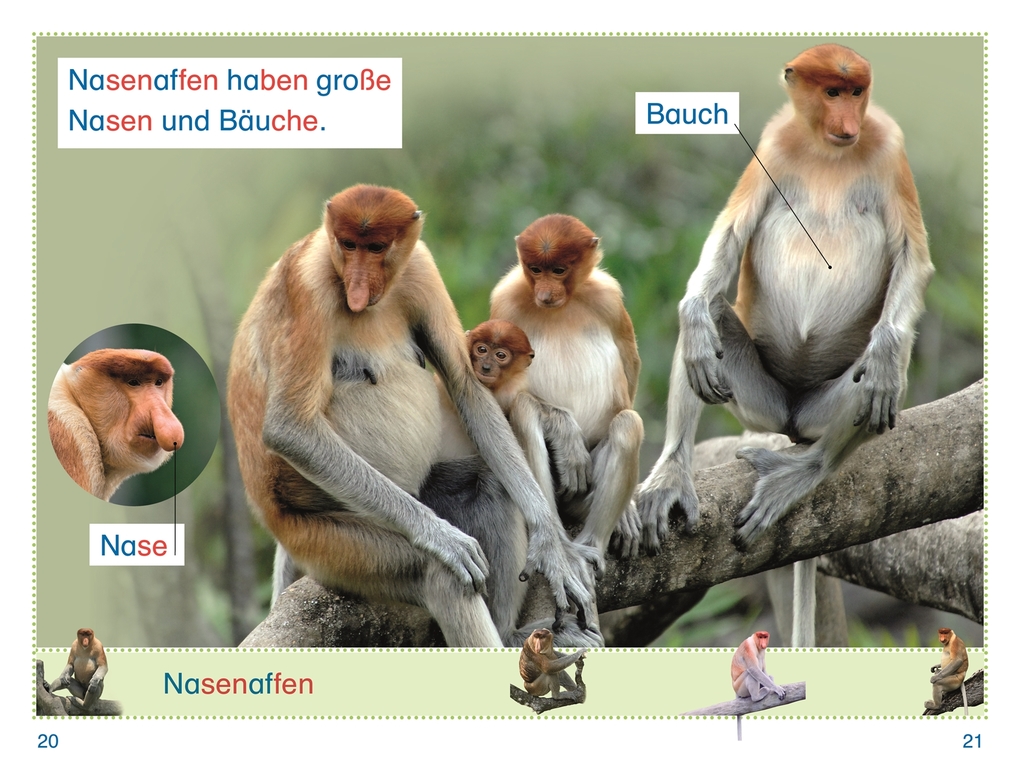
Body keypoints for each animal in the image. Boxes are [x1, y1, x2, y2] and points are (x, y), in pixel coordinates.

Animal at [227, 185, 599, 648]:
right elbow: (290, 429)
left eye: (376, 247)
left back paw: (509, 633)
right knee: (437, 574)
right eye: (347, 245)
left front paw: (553, 548)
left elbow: (464, 383)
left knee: (492, 483)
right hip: (324, 540)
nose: (357, 285)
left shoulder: (418, 267)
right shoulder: (308, 287)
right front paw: (443, 539)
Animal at [491, 214, 644, 573]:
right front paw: (567, 436)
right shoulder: (504, 301)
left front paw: (628, 512)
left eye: (559, 270)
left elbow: (630, 362)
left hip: (581, 498)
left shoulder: (608, 299)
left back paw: (592, 545)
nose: (545, 293)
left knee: (628, 424)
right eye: (535, 269)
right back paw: (559, 546)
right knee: (524, 410)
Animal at [636, 45, 933, 644]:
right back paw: (673, 472)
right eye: (831, 92)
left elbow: (913, 256)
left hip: (818, 408)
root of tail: (794, 416)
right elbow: (728, 235)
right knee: (708, 318)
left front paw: (884, 359)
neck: (826, 150)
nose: (847, 123)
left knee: (882, 373)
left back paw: (810, 465)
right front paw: (696, 325)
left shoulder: (888, 147)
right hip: (759, 399)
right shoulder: (773, 146)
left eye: (856, 92)